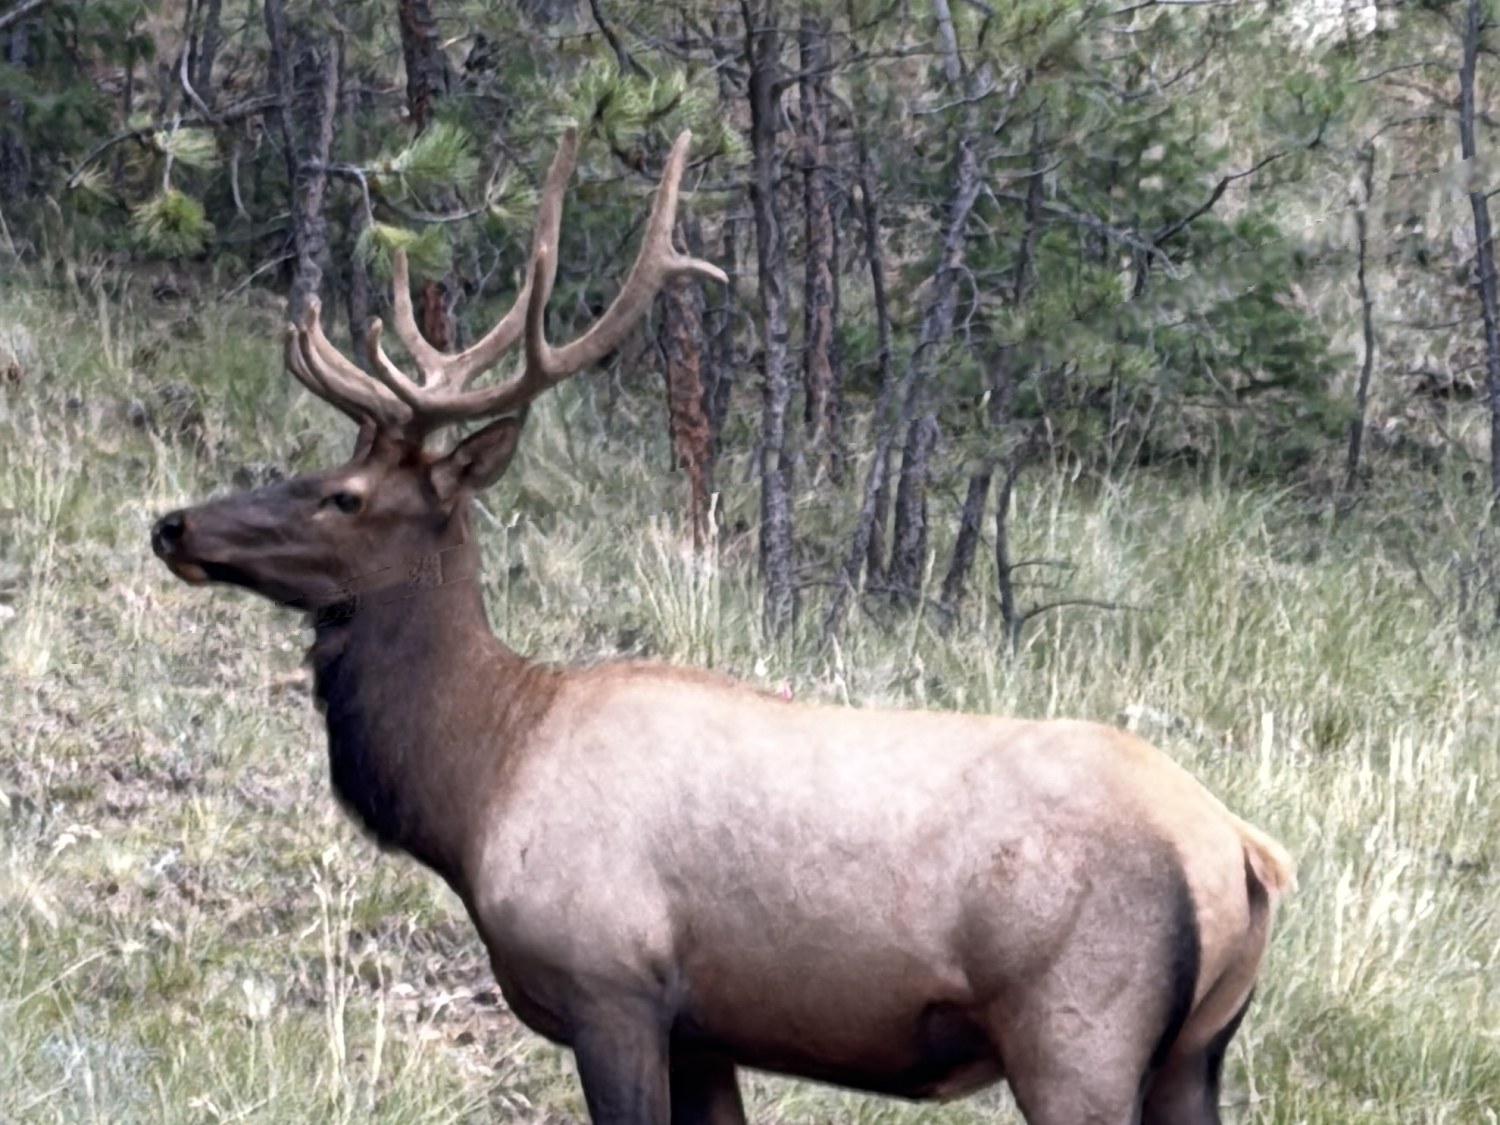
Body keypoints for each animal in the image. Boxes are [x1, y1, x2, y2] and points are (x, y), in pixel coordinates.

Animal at [150, 128, 1296, 1125]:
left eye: (342, 495)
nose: (174, 524)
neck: (477, 786)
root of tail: (1244, 852)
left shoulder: (612, 984)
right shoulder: (706, 1029)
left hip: (1074, 1030)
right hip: (1195, 1054)